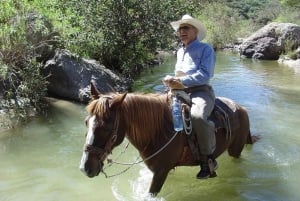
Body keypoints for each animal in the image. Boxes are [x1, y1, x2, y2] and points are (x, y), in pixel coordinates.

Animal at [79, 82, 258, 196]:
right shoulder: (161, 171)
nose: (85, 168)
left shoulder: (160, 172)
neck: (158, 131)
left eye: (106, 127)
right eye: (86, 122)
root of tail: (241, 108)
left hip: (235, 150)